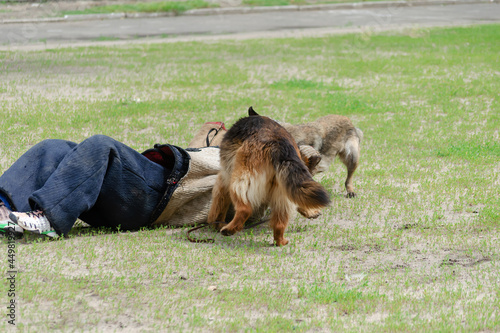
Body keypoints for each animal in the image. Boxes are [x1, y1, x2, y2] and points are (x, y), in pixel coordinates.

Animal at [207, 107, 332, 245]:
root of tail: (278, 144)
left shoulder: (224, 177)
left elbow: (218, 202)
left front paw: (215, 222)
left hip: (241, 178)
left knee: (245, 208)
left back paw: (229, 229)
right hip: (281, 190)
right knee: (280, 221)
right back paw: (280, 241)